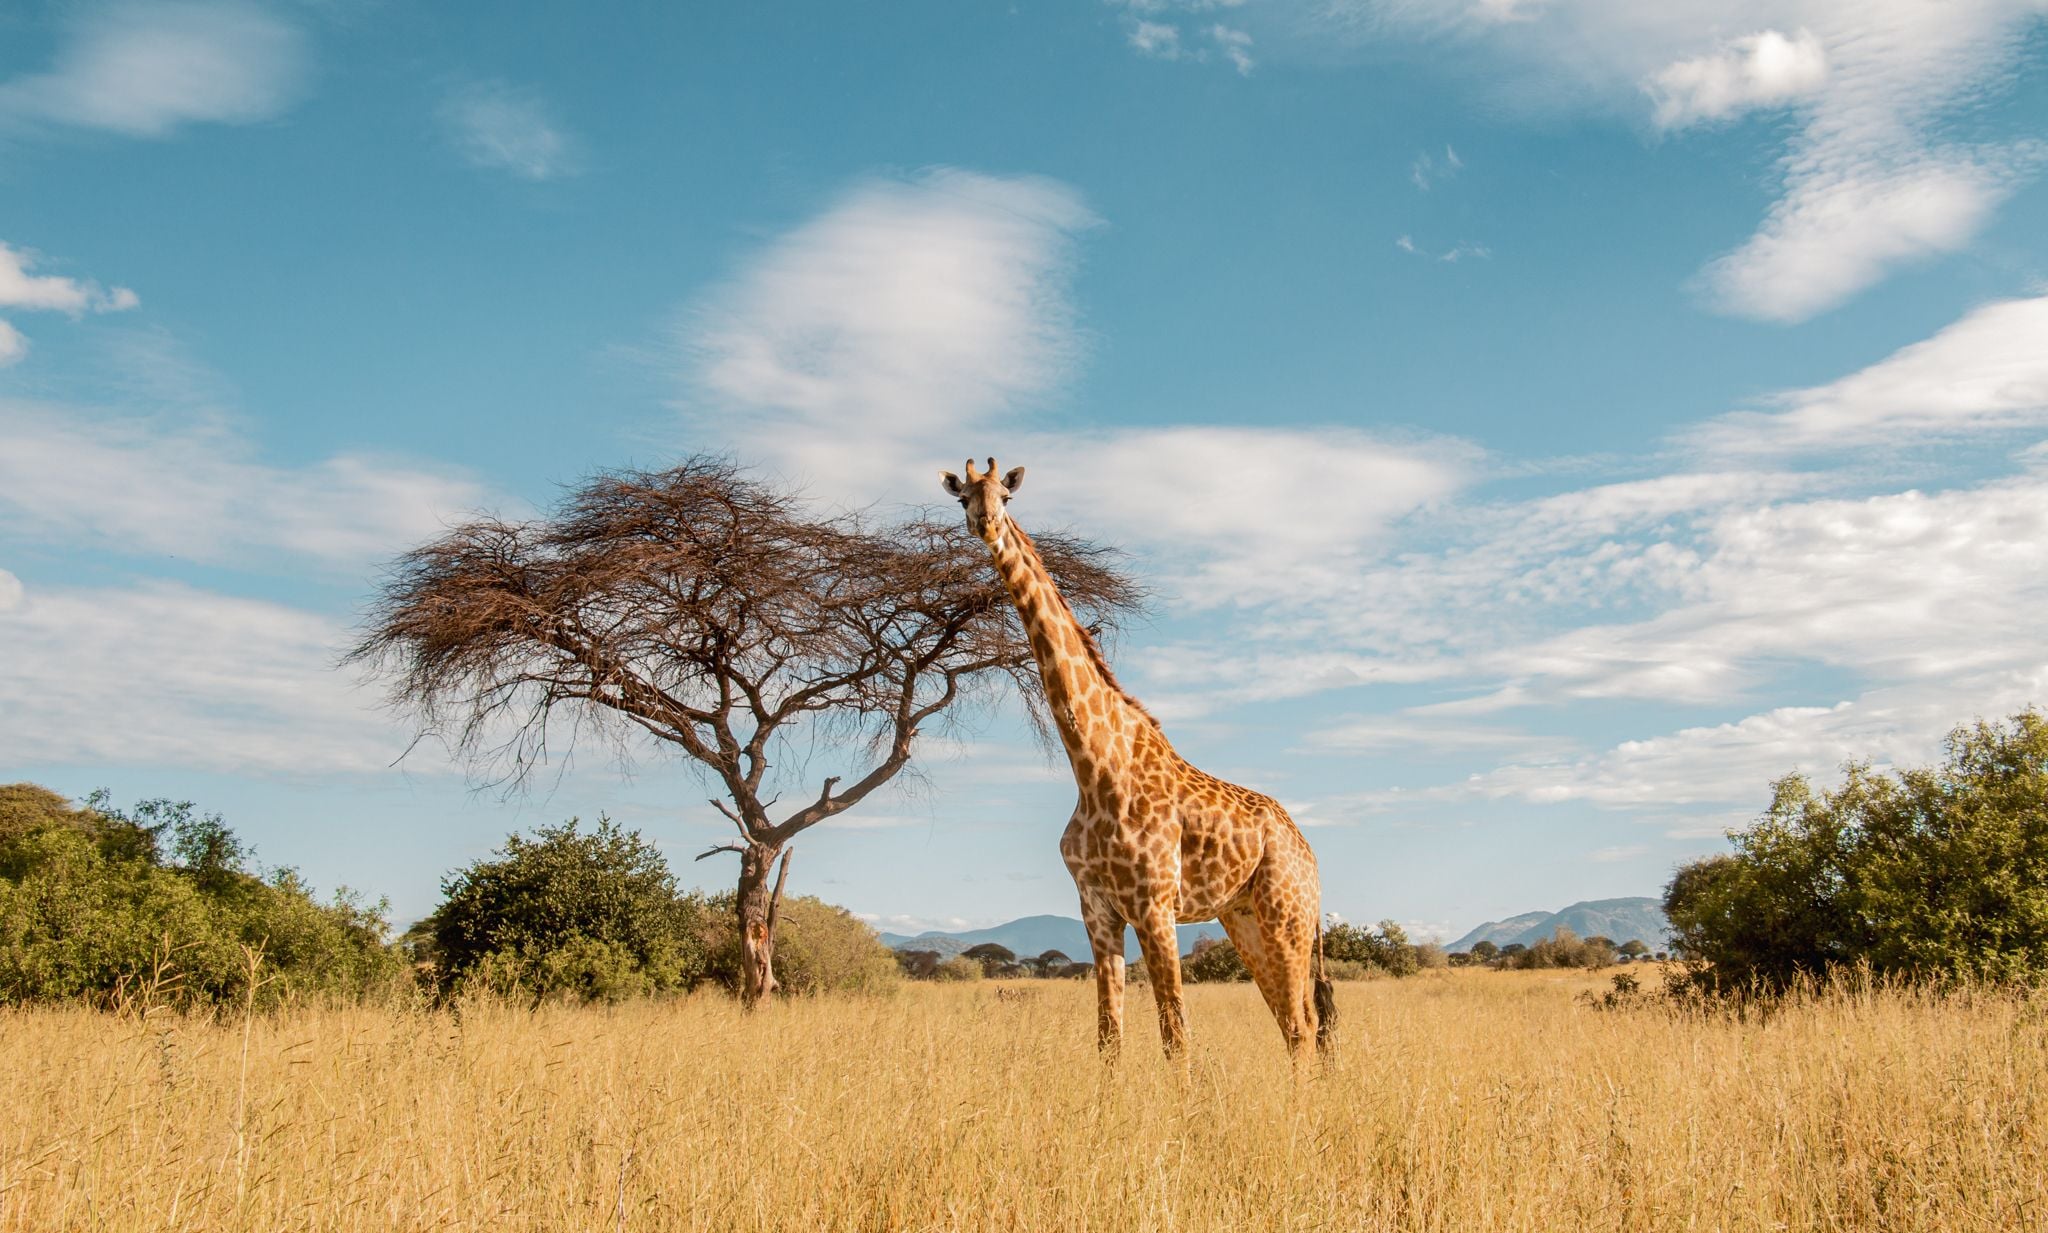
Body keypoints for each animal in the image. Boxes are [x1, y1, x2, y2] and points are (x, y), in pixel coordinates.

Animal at [941, 458, 1336, 1059]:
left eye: (1005, 496)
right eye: (963, 496)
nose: (985, 524)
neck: (1094, 768)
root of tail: (1309, 854)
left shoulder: (1154, 905)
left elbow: (1175, 1033)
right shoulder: (1097, 908)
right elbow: (1109, 1034)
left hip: (1286, 916)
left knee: (1303, 1024)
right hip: (1241, 917)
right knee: (1293, 1023)